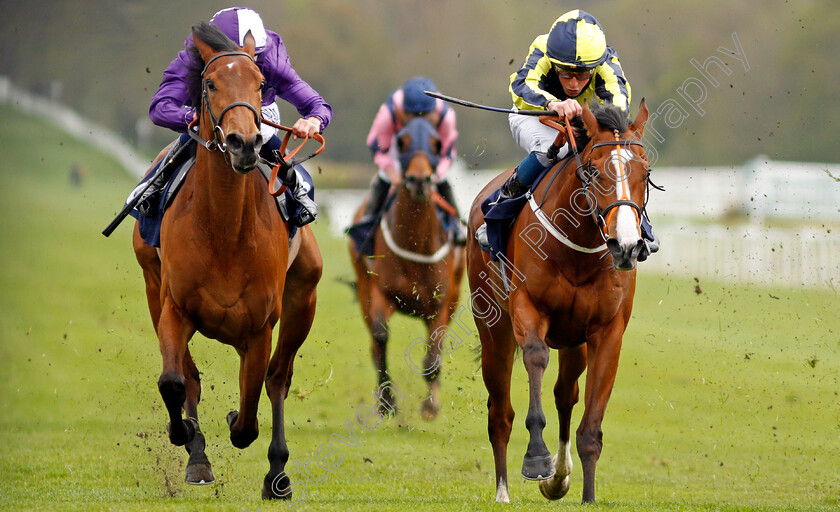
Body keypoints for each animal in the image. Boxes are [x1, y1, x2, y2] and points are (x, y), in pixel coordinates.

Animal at [133, 24, 320, 500]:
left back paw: (277, 473)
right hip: (151, 287)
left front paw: (239, 423)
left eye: (259, 83)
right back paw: (197, 455)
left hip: (303, 300)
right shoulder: (174, 308)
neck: (224, 230)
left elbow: (250, 415)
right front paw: (185, 437)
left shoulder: (260, 327)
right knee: (190, 378)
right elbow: (174, 381)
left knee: (278, 379)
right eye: (211, 83)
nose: (244, 143)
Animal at [470, 102, 652, 502]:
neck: (578, 251)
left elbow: (589, 426)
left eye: (646, 172)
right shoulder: (527, 308)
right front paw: (537, 459)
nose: (627, 246)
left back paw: (560, 476)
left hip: (573, 342)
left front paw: (586, 495)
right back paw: (503, 491)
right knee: (500, 412)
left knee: (565, 393)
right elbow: (536, 358)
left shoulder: (606, 331)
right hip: (493, 328)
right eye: (595, 171)